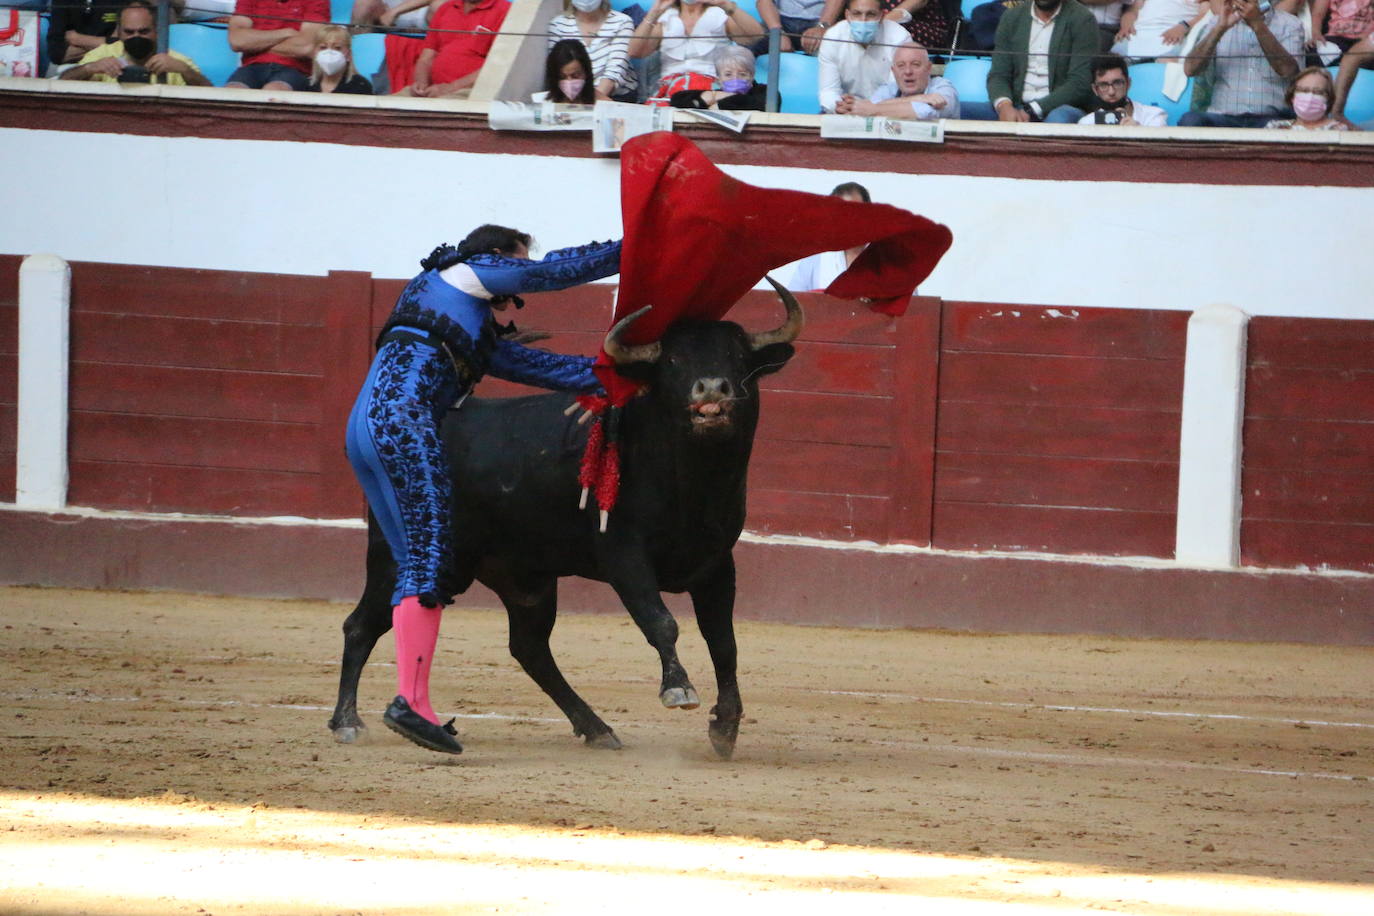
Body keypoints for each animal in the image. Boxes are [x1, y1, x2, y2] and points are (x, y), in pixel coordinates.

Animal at [328, 280, 802, 758]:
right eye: (672, 361)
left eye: (738, 358)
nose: (711, 389)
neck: (693, 483)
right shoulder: (623, 555)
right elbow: (660, 620)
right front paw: (679, 689)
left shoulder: (718, 565)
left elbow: (724, 644)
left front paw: (725, 726)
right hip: (401, 558)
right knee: (361, 625)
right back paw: (349, 723)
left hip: (525, 580)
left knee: (530, 648)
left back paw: (595, 727)